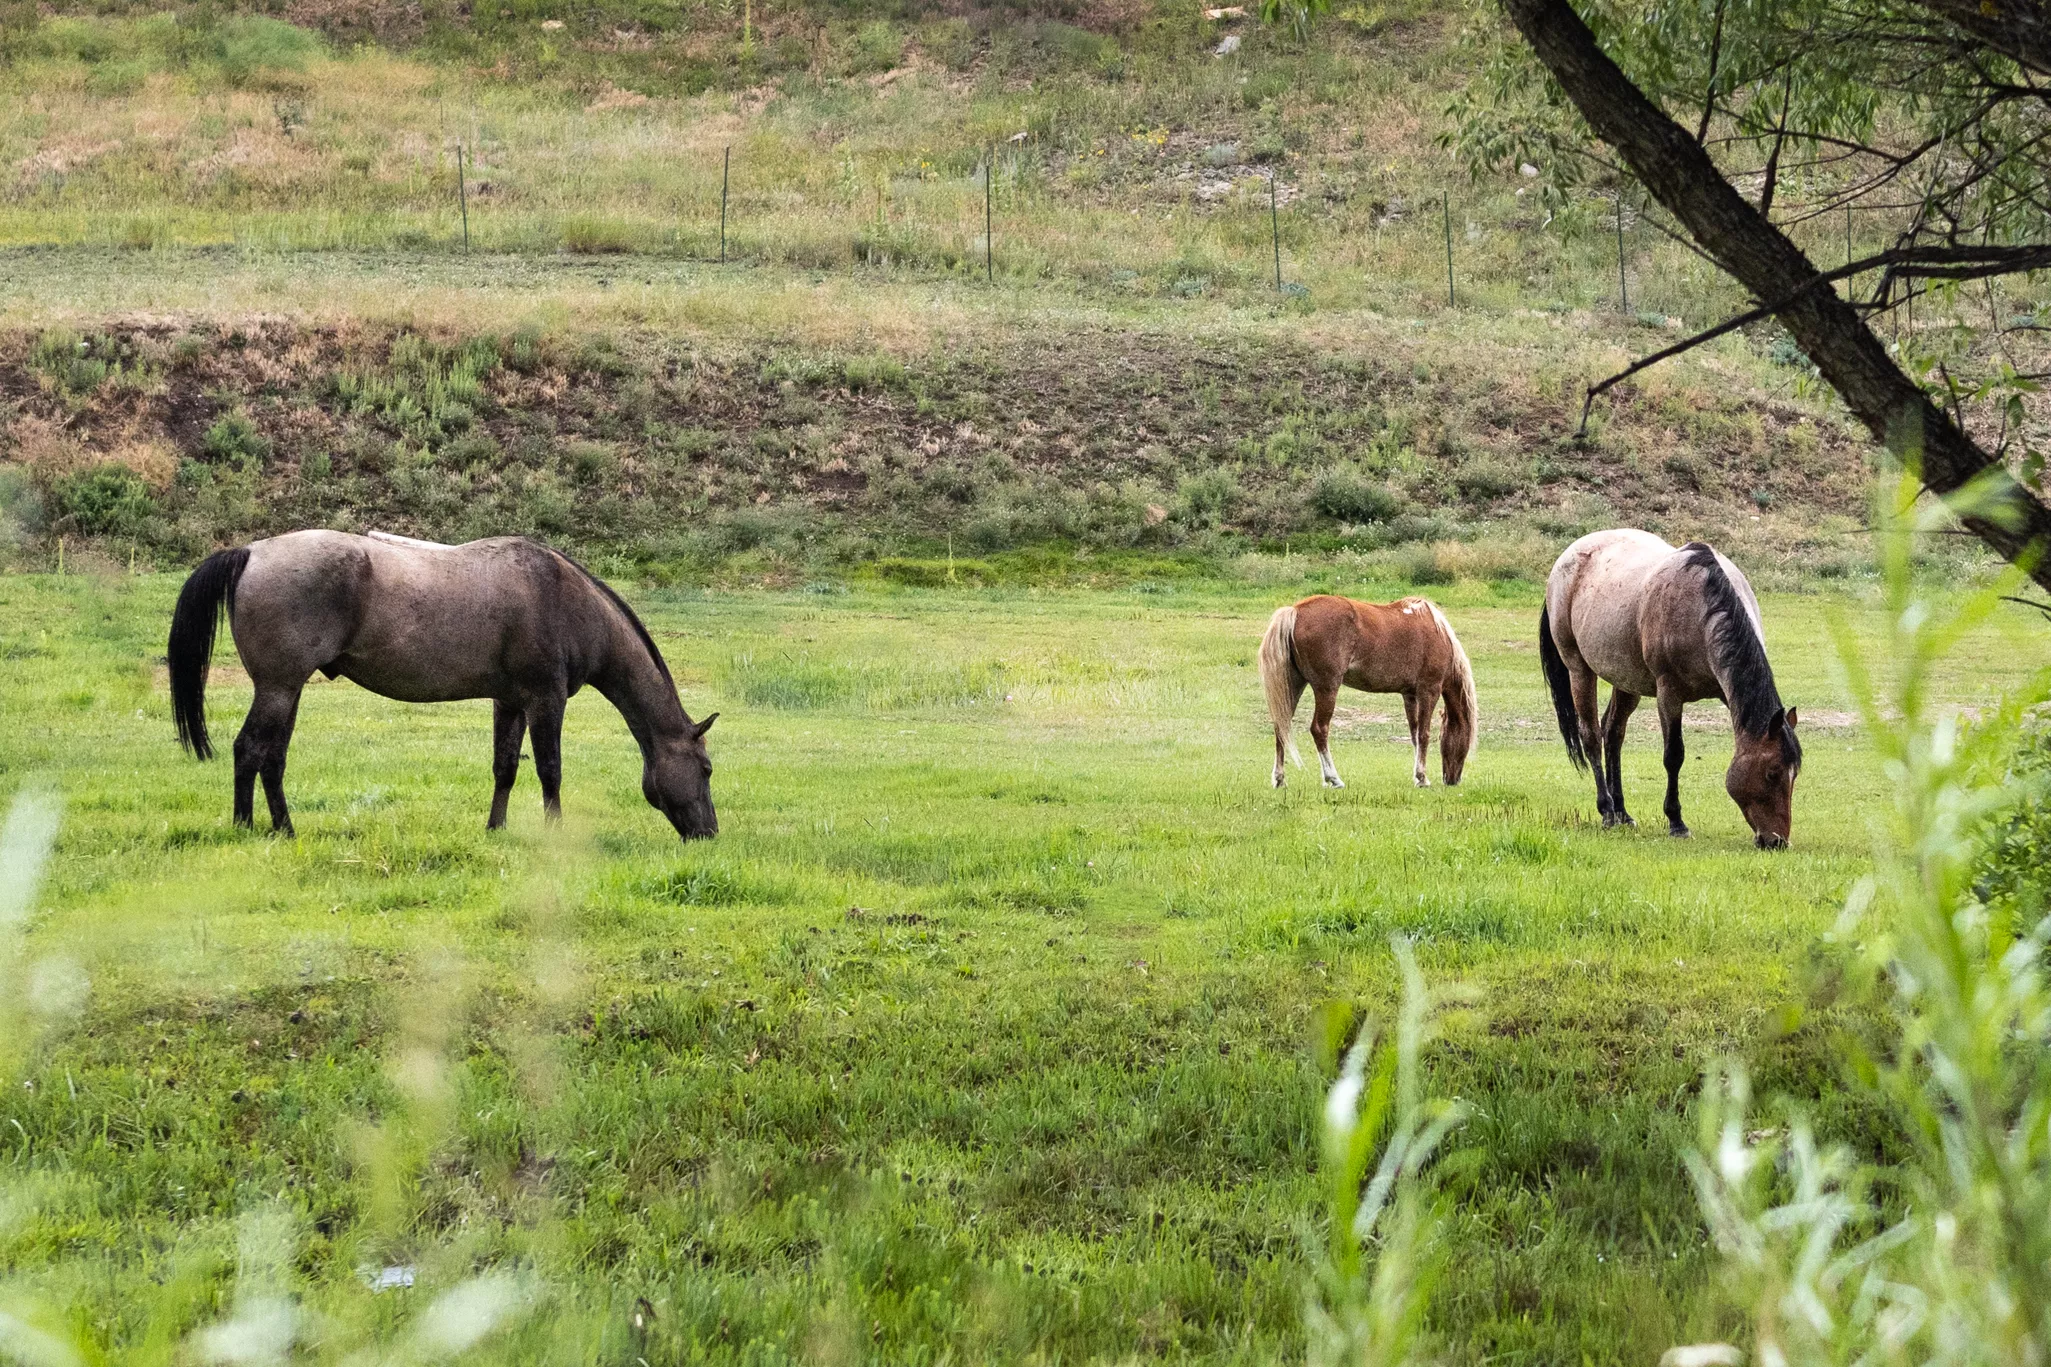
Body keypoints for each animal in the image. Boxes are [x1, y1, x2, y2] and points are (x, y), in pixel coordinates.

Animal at [167, 530, 718, 839]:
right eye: (708, 768)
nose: (709, 833)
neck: (564, 599)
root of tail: (250, 552)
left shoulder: (509, 702)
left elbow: (504, 769)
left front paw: (495, 830)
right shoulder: (546, 700)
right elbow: (550, 771)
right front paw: (555, 834)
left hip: (288, 691)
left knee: (272, 758)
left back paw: (282, 828)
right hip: (278, 688)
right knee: (249, 750)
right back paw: (249, 828)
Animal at [1259, 594, 1477, 790]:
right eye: (1464, 738)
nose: (1452, 780)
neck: (1437, 633)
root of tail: (1296, 611)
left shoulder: (1409, 695)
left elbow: (1414, 735)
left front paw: (1417, 776)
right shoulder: (1429, 691)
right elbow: (1423, 734)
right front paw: (1422, 778)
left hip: (1294, 685)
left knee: (1281, 726)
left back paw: (1280, 779)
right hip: (1327, 688)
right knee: (1319, 729)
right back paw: (1333, 778)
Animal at [1538, 529, 1800, 847]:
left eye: (1794, 774)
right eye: (1772, 773)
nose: (1777, 841)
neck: (1700, 609)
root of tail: (1566, 558)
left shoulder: (1727, 693)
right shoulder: (1669, 694)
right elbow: (1674, 755)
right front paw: (1676, 822)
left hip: (1626, 680)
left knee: (1613, 733)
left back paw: (1623, 812)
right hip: (1579, 670)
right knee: (1591, 737)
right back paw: (1608, 811)